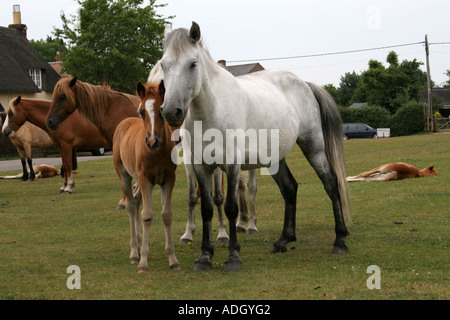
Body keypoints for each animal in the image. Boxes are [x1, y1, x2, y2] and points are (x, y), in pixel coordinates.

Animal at [158, 23, 352, 272]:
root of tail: (305, 84)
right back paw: (283, 240)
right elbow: (207, 208)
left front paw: (233, 256)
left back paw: (340, 240)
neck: (212, 110)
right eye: (163, 64)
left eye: (193, 63)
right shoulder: (201, 167)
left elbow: (231, 208)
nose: (171, 111)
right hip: (275, 159)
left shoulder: (231, 165)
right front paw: (204, 257)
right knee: (289, 188)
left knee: (330, 183)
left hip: (313, 147)